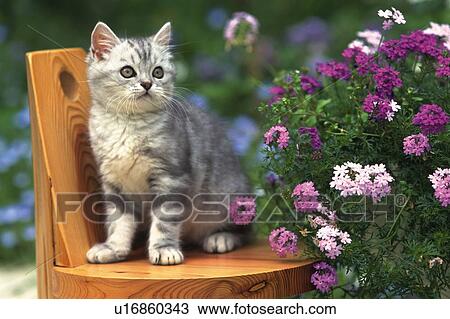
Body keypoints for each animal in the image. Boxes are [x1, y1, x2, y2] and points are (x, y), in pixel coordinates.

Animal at [86, 22, 251, 266]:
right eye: (127, 71)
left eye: (158, 72)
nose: (147, 84)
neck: (129, 124)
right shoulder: (114, 182)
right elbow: (119, 220)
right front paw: (113, 247)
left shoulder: (172, 176)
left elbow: (164, 221)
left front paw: (164, 249)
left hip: (230, 196)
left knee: (246, 231)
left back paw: (221, 238)